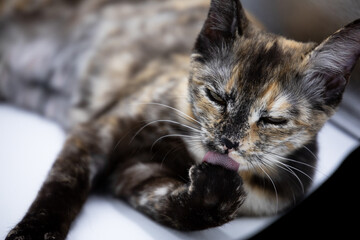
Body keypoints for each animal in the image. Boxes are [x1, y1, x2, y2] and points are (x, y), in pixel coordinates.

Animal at [2, 0, 360, 239]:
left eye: (273, 120)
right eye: (216, 96)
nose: (228, 143)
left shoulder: (136, 174)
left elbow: (177, 210)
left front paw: (213, 191)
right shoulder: (99, 131)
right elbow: (64, 184)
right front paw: (32, 232)